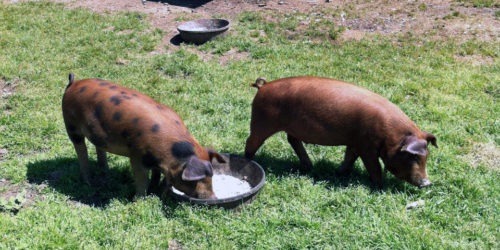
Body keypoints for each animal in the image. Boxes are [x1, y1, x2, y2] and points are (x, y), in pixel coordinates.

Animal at [246, 76, 438, 188]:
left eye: (426, 157)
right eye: (413, 157)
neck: (391, 136)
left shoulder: (355, 142)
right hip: (261, 122)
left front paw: (339, 173)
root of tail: (263, 87)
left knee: (292, 140)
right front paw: (380, 187)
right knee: (251, 141)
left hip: (290, 128)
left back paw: (309, 166)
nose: (427, 183)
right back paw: (249, 160)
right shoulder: (366, 146)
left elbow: (349, 157)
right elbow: (373, 166)